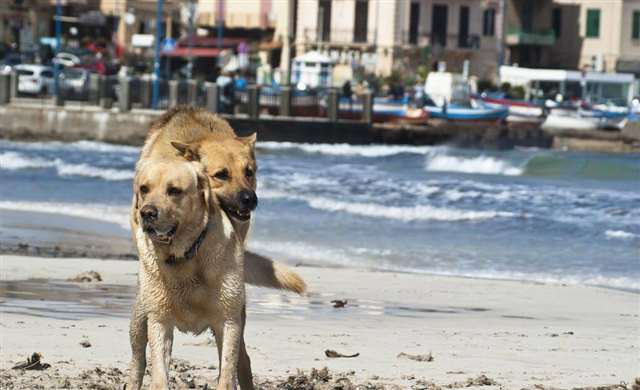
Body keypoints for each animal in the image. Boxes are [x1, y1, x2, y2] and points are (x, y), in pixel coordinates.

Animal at [127, 159, 245, 390]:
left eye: (174, 190)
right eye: (144, 188)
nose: (147, 213)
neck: (183, 256)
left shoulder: (229, 321)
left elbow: (227, 371)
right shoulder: (159, 319)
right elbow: (159, 373)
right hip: (139, 318)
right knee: (137, 359)